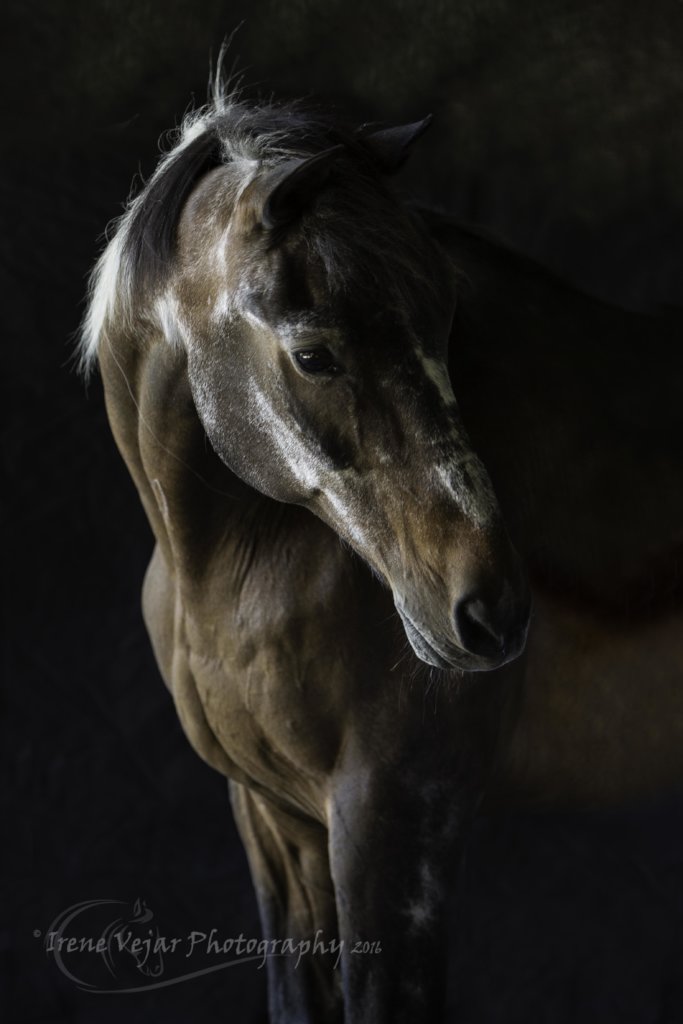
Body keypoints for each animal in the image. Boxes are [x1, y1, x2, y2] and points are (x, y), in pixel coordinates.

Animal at [80, 78, 683, 1023]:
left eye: (445, 320)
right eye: (312, 353)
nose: (490, 609)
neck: (226, 570)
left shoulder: (395, 822)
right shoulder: (276, 824)